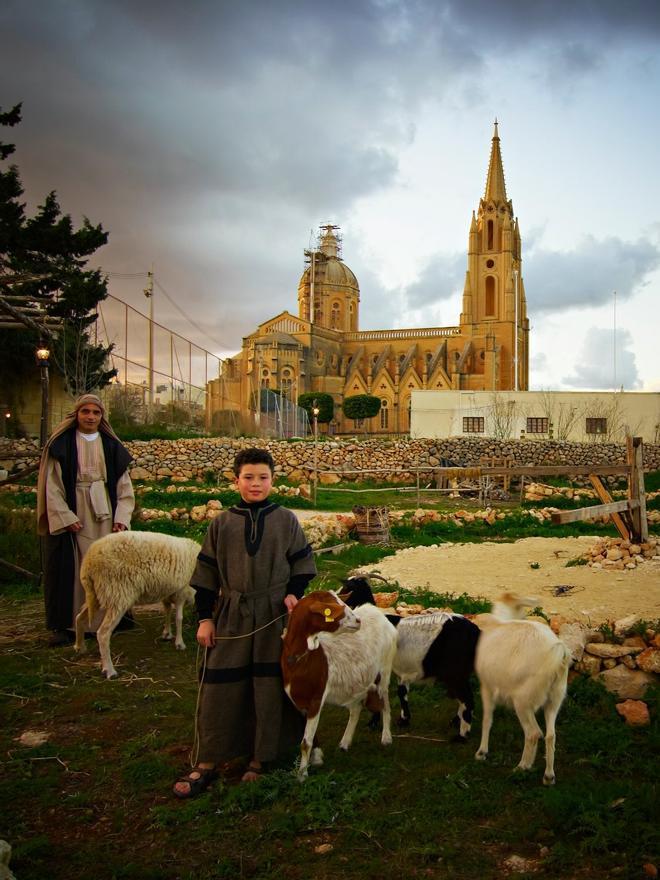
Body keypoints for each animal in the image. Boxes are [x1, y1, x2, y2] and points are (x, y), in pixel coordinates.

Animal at [74, 528, 200, 680]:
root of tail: (89, 563)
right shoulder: (181, 590)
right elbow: (179, 618)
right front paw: (180, 643)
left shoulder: (167, 592)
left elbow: (167, 611)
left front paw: (167, 633)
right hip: (118, 595)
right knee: (103, 633)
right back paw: (109, 670)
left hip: (97, 595)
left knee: (79, 617)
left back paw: (80, 647)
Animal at [280, 588, 398, 780]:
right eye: (334, 609)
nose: (358, 621)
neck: (303, 660)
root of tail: (379, 615)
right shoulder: (299, 702)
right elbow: (310, 737)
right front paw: (316, 759)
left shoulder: (317, 697)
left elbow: (305, 742)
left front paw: (302, 775)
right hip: (357, 682)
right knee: (356, 708)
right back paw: (345, 742)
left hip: (384, 671)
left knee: (385, 702)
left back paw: (386, 738)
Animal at [340, 576, 480, 744]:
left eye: (349, 588)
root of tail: (476, 633)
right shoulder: (402, 670)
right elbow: (402, 692)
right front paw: (404, 719)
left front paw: (373, 723)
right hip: (460, 673)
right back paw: (456, 721)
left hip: (455, 672)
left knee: (467, 698)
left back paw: (461, 735)